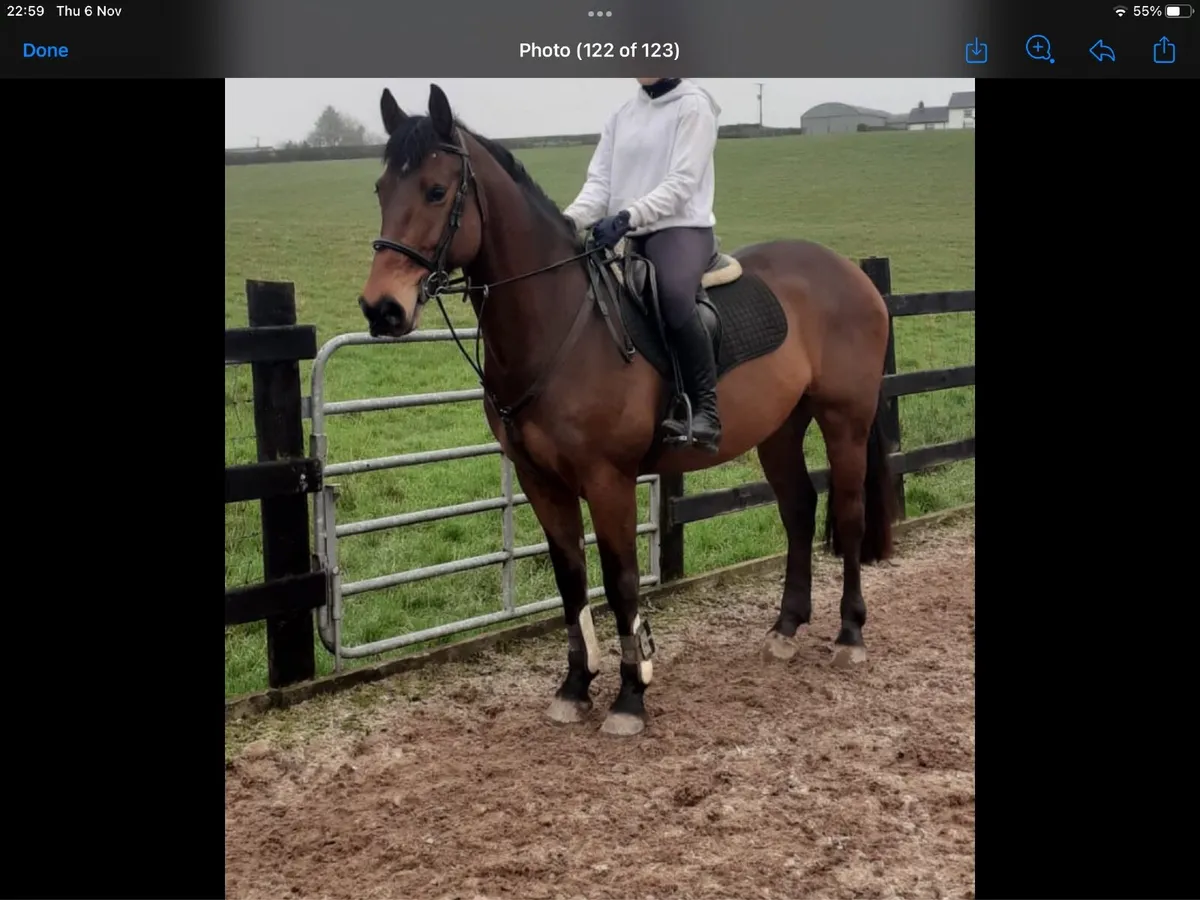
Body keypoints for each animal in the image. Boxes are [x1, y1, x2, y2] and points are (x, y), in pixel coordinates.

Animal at [358, 84, 898, 738]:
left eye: (437, 191)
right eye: (381, 189)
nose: (382, 308)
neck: (560, 324)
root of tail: (850, 272)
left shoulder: (607, 479)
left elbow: (620, 582)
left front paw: (630, 695)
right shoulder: (542, 482)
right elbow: (570, 579)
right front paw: (574, 687)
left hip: (845, 420)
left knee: (848, 515)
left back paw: (849, 635)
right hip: (779, 430)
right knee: (798, 511)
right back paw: (785, 629)